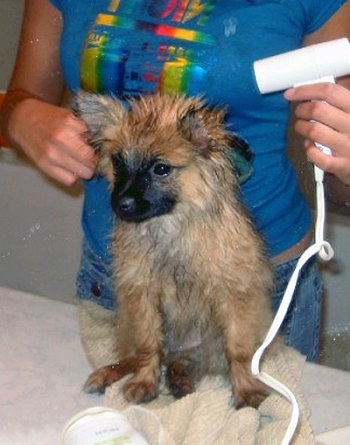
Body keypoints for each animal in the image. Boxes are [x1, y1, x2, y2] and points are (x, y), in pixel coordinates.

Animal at [72, 92, 274, 408]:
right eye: (118, 161)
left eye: (161, 169)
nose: (121, 204)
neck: (171, 226)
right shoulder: (142, 296)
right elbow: (147, 347)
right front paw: (145, 381)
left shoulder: (235, 298)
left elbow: (238, 351)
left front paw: (245, 389)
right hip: (130, 321)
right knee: (139, 355)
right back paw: (110, 373)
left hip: (205, 344)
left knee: (183, 361)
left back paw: (181, 381)